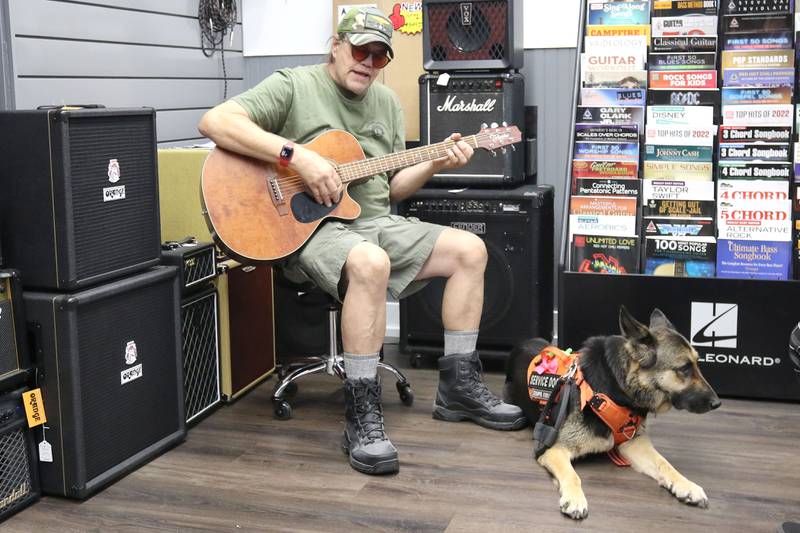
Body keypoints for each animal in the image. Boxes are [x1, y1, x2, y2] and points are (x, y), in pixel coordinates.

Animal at [506, 306, 724, 516]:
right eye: (685, 368)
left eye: (696, 363)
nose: (717, 403)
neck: (615, 388)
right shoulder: (552, 450)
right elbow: (573, 475)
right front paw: (575, 499)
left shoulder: (634, 443)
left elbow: (665, 463)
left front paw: (687, 485)